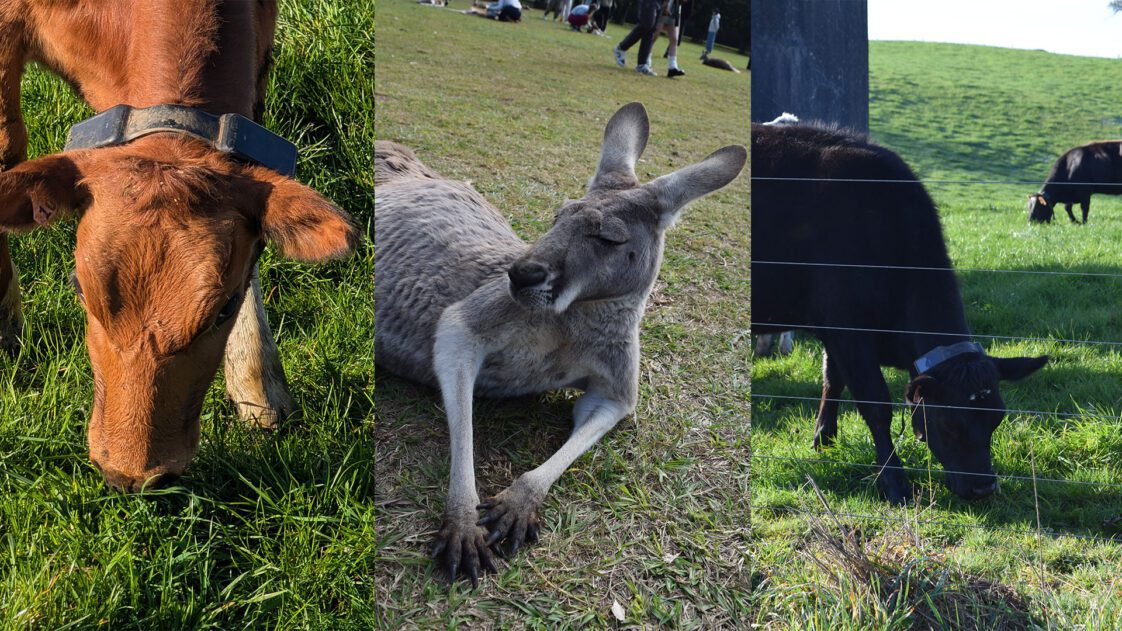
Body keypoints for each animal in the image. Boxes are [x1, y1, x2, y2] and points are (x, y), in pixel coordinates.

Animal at [0, 1, 360, 491]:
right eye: (79, 289)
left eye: (224, 310)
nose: (131, 476)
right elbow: (6, 148)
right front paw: (5, 334)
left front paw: (257, 384)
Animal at [752, 122, 1047, 504]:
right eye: (949, 422)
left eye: (996, 418)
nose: (983, 487)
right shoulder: (849, 330)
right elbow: (876, 404)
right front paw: (894, 481)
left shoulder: (834, 329)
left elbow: (832, 381)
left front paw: (823, 440)